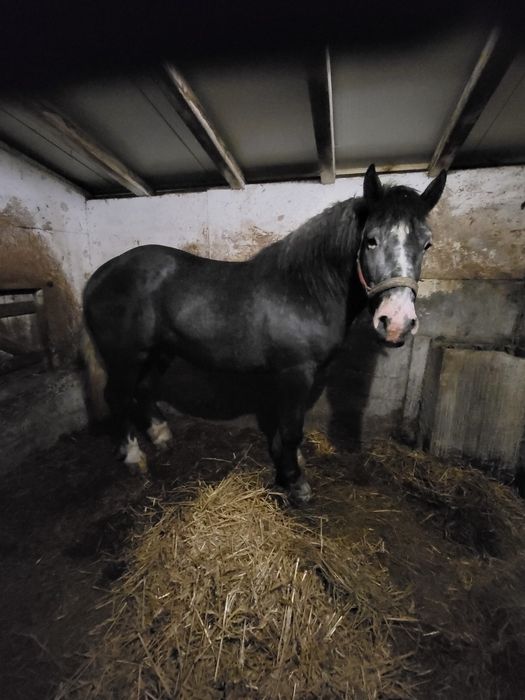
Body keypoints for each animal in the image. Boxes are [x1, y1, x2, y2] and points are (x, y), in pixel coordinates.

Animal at [83, 164, 446, 503]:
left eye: (427, 244)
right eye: (371, 240)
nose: (396, 321)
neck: (306, 289)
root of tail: (100, 275)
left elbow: (290, 425)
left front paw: (293, 462)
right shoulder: (296, 372)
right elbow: (291, 428)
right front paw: (295, 483)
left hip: (159, 351)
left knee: (143, 389)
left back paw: (161, 437)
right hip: (126, 356)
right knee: (117, 396)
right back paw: (134, 457)